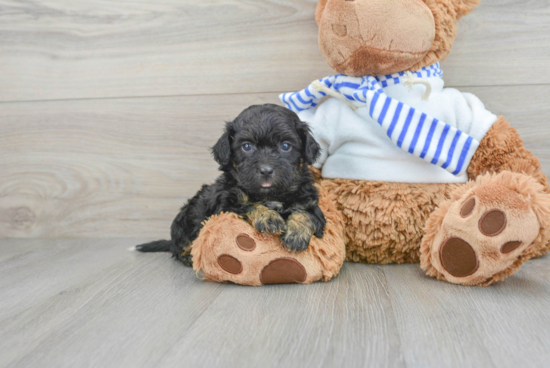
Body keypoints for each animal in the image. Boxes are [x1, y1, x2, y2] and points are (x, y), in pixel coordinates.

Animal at [137, 102, 328, 266]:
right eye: (247, 146)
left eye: (286, 146)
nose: (266, 170)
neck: (270, 195)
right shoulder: (224, 207)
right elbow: (248, 205)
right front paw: (268, 216)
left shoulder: (312, 205)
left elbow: (306, 213)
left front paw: (296, 234)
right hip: (184, 221)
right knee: (178, 247)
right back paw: (189, 257)